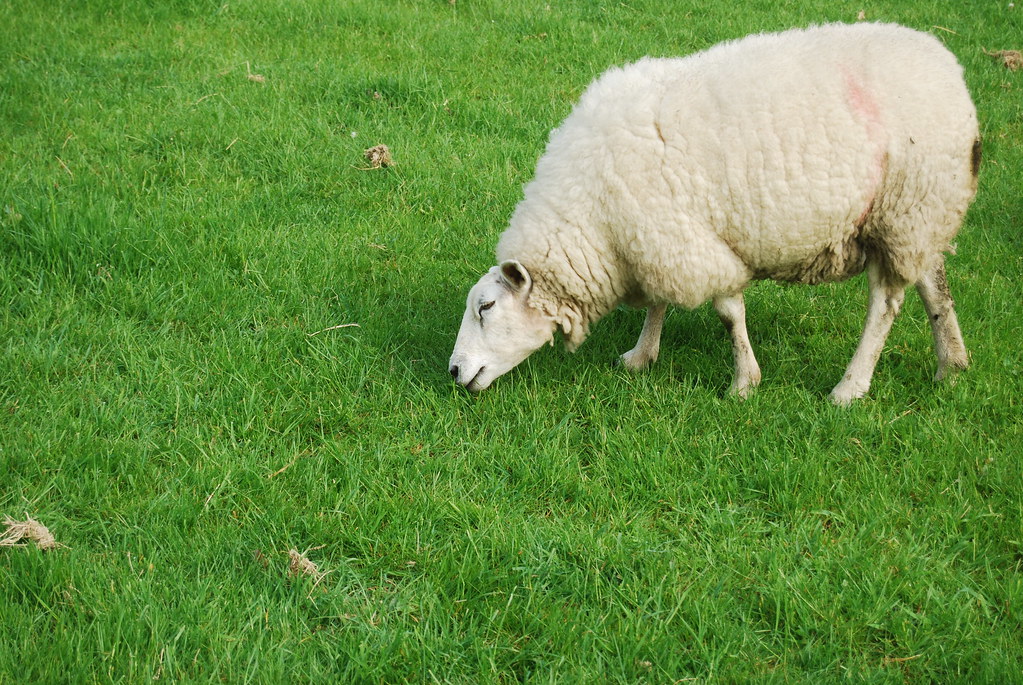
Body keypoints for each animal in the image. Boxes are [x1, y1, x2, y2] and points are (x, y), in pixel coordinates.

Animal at [449, 23, 980, 405]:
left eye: (486, 307)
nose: (454, 371)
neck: (591, 217)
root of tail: (950, 72)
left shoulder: (689, 240)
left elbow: (728, 314)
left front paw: (744, 383)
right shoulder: (655, 237)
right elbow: (660, 303)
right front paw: (641, 356)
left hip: (905, 207)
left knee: (885, 305)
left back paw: (850, 388)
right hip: (922, 213)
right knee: (934, 282)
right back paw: (951, 364)